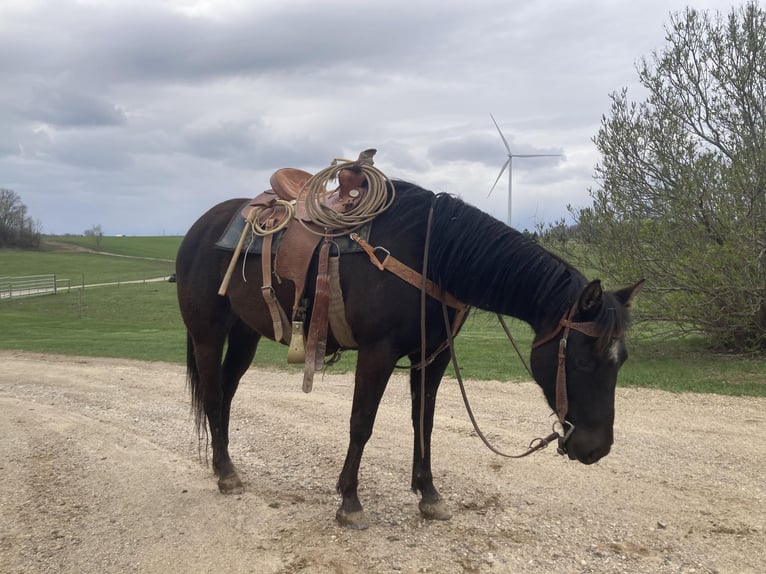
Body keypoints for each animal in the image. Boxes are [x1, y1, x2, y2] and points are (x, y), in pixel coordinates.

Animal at [177, 183, 644, 532]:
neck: (434, 256)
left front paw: (430, 495)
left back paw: (225, 466)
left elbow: (425, 422)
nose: (596, 449)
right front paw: (350, 502)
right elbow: (361, 424)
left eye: (620, 361)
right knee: (214, 395)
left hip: (245, 335)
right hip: (207, 333)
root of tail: (199, 228)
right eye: (583, 361)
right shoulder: (377, 353)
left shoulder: (432, 358)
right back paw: (225, 473)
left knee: (227, 395)